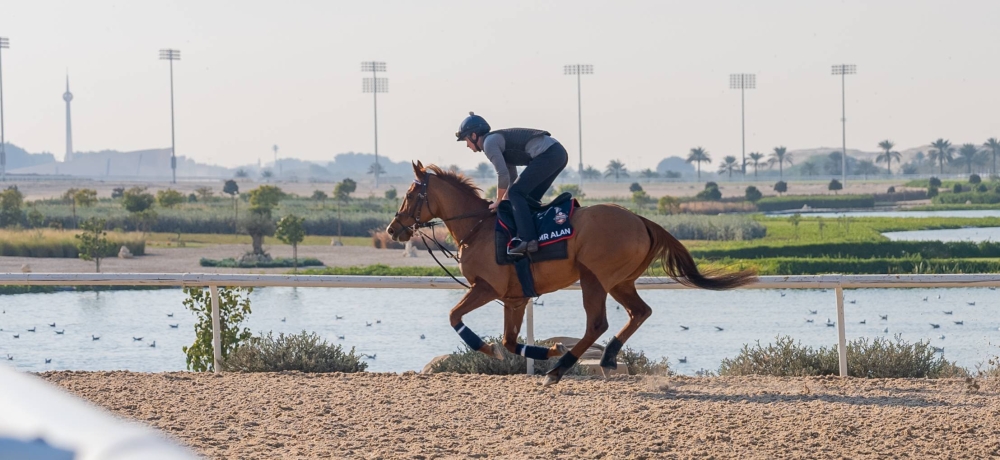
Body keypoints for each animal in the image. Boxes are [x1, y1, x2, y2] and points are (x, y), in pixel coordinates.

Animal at [386, 164, 752, 386]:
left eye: (409, 195)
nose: (392, 229)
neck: (479, 228)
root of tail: (641, 219)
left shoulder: (487, 288)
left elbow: (454, 316)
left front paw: (490, 350)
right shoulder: (515, 299)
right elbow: (509, 340)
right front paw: (549, 349)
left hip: (594, 278)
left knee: (598, 324)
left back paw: (560, 370)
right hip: (620, 281)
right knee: (639, 312)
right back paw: (604, 357)